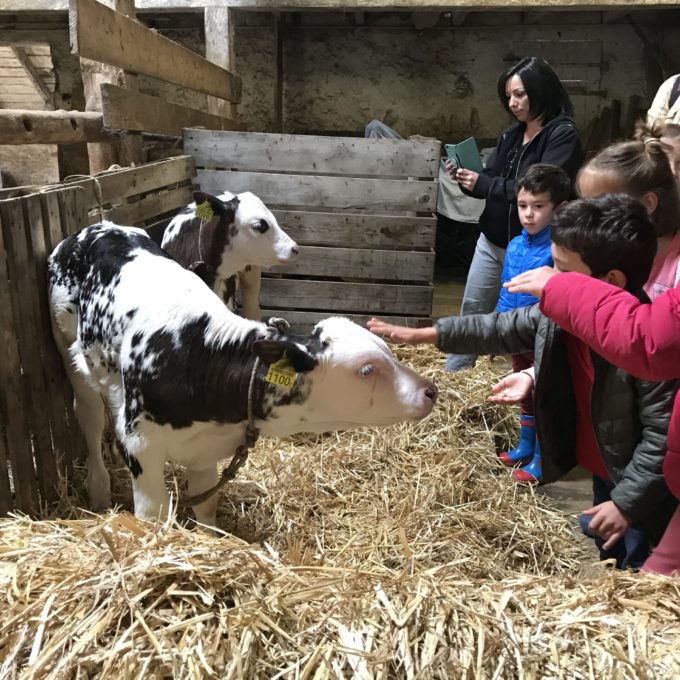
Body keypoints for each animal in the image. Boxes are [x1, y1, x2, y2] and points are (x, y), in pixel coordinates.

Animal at [49, 223, 440, 524]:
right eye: (366, 369)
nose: (430, 390)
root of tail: (96, 227)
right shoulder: (142, 448)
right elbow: (153, 518)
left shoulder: (206, 450)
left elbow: (206, 508)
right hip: (67, 346)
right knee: (89, 415)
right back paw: (98, 488)